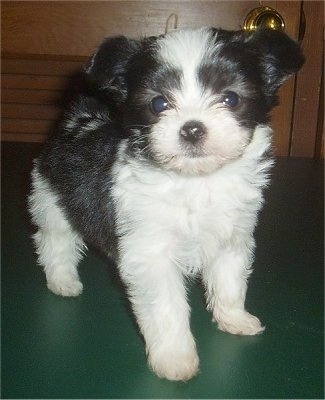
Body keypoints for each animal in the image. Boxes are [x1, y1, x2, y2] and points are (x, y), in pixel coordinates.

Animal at [28, 27, 304, 382]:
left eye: (230, 98)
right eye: (159, 103)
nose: (192, 128)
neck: (195, 181)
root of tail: (78, 122)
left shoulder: (231, 238)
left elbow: (229, 281)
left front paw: (234, 318)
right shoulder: (151, 254)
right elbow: (167, 308)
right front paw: (175, 359)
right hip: (51, 197)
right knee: (56, 240)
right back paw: (62, 280)